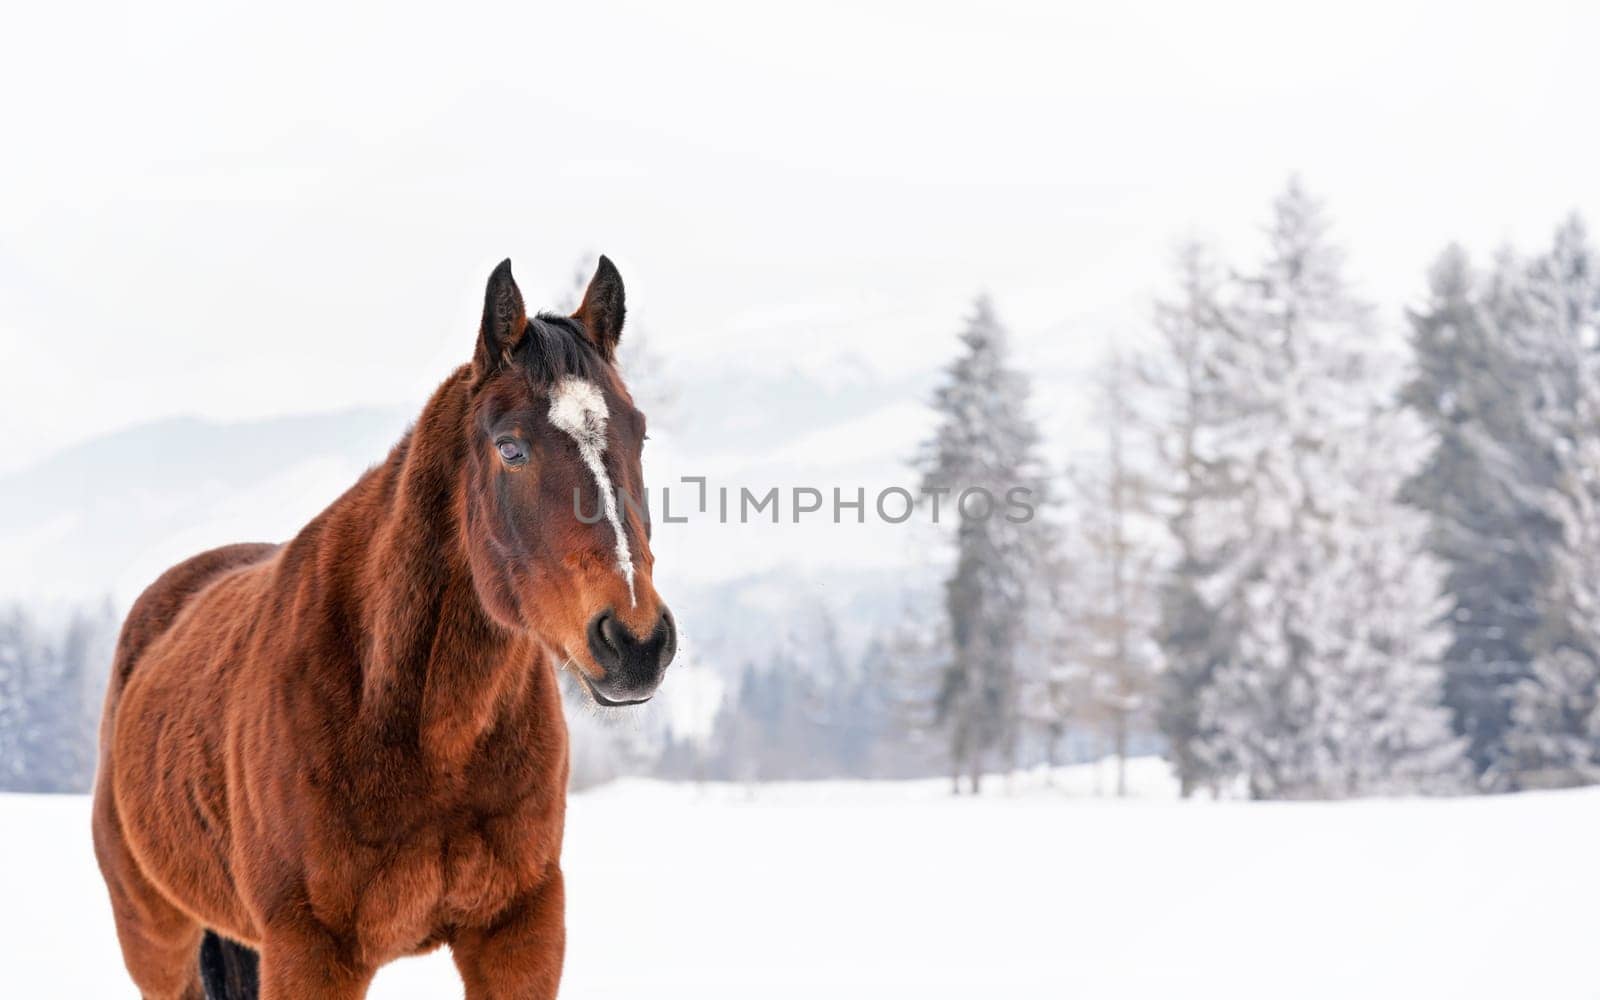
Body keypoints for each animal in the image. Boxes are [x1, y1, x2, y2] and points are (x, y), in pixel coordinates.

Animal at [92, 259, 675, 998]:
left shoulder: (518, 934)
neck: (421, 726)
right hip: (158, 940)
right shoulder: (310, 952)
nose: (636, 642)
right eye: (511, 448)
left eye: (640, 433)